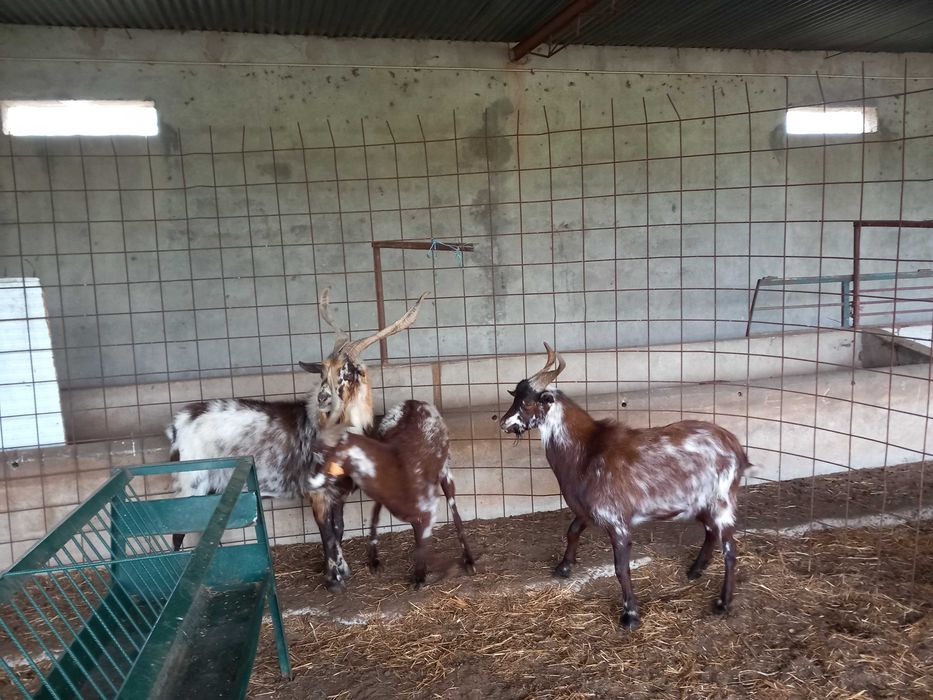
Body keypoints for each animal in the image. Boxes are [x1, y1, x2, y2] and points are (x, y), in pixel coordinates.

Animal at [166, 288, 428, 592]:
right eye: (323, 371)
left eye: (347, 370)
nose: (323, 397)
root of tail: (179, 424)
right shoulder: (317, 491)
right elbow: (327, 533)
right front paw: (334, 580)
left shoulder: (337, 492)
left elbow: (339, 528)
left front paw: (342, 570)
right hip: (191, 483)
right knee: (178, 533)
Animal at [306, 400, 475, 588]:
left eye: (324, 454)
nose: (309, 482)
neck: (397, 466)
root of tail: (414, 402)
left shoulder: (429, 507)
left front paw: (420, 576)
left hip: (446, 468)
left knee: (454, 508)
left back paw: (469, 561)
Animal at [499, 344, 751, 629]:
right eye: (515, 397)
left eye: (527, 402)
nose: (504, 423)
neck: (585, 451)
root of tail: (734, 446)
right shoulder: (586, 509)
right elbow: (572, 531)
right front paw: (564, 567)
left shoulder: (617, 521)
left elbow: (621, 568)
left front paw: (630, 615)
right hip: (700, 502)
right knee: (710, 531)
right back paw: (695, 570)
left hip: (722, 500)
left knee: (730, 549)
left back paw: (723, 603)